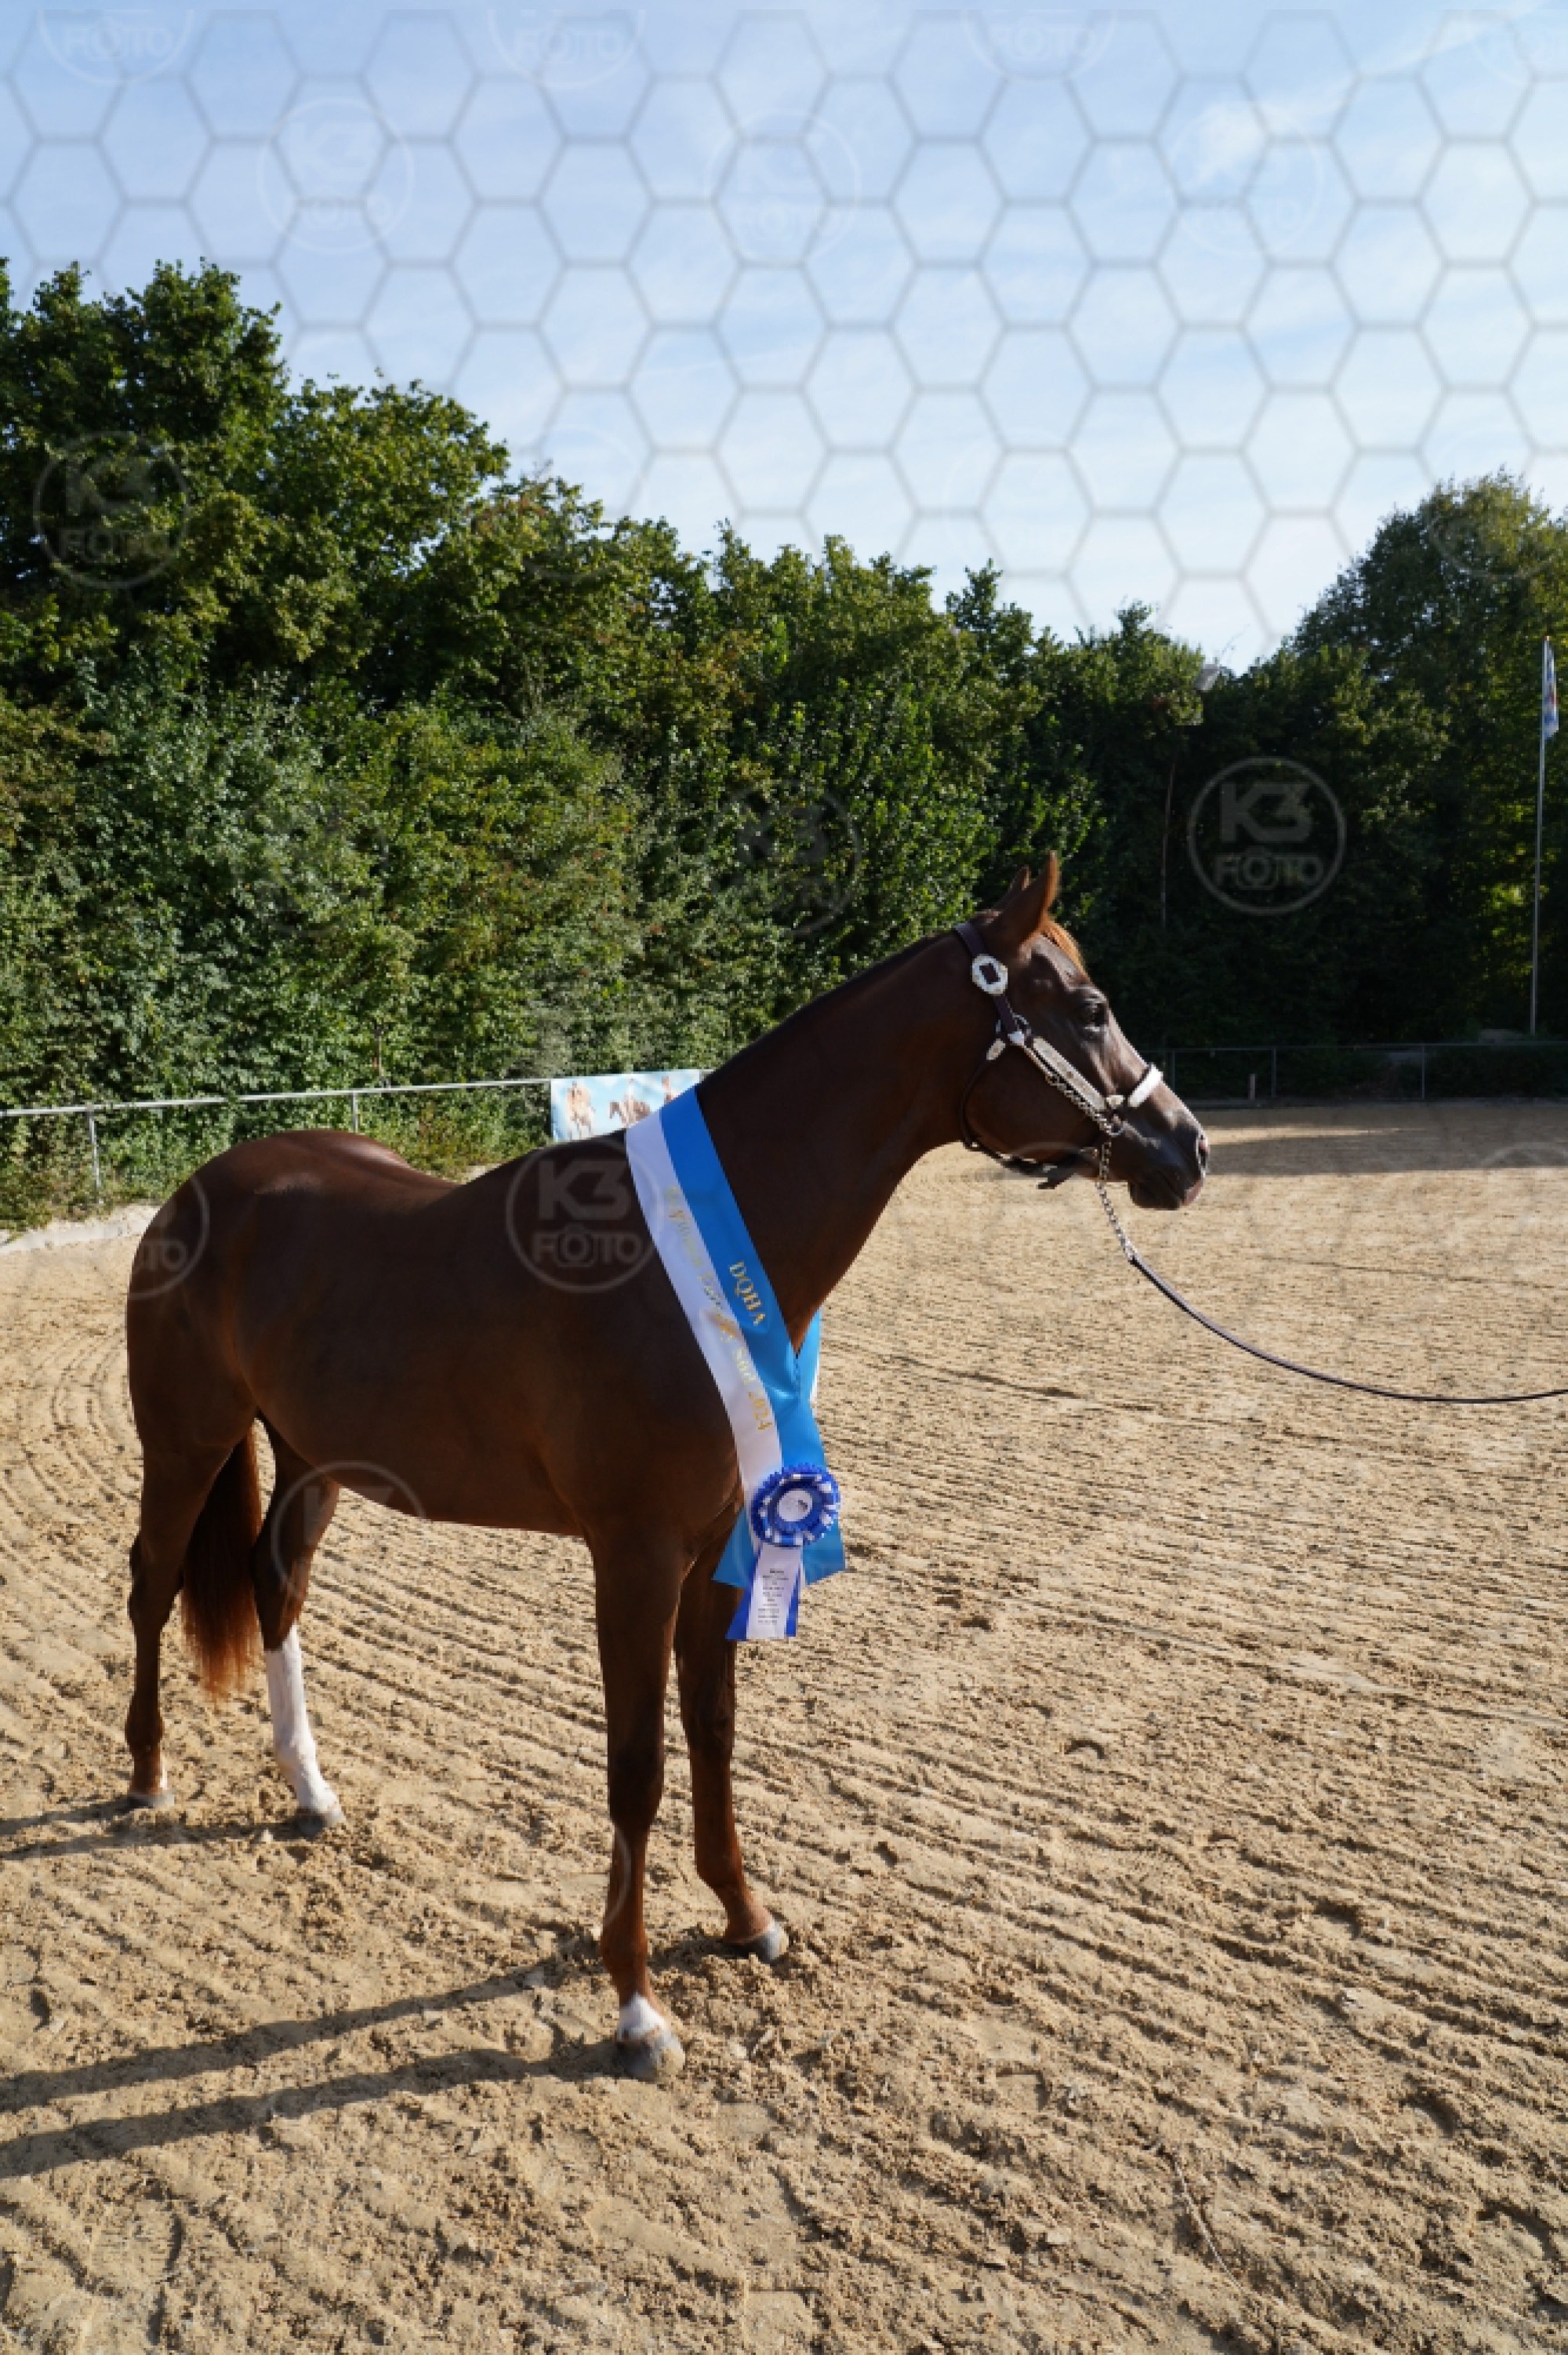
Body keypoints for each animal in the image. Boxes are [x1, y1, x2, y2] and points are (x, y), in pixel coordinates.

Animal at [122, 863, 1206, 2077]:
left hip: (315, 1459)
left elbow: (714, 1732)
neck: (677, 1262)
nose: (1187, 1148)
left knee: (276, 1584)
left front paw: (745, 1919)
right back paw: (147, 1777)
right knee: (152, 1583)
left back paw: (309, 1788)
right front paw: (638, 2004)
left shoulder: (721, 1549)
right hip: (185, 1443)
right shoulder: (633, 1558)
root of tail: (198, 1189)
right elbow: (637, 1763)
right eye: (1088, 1007)